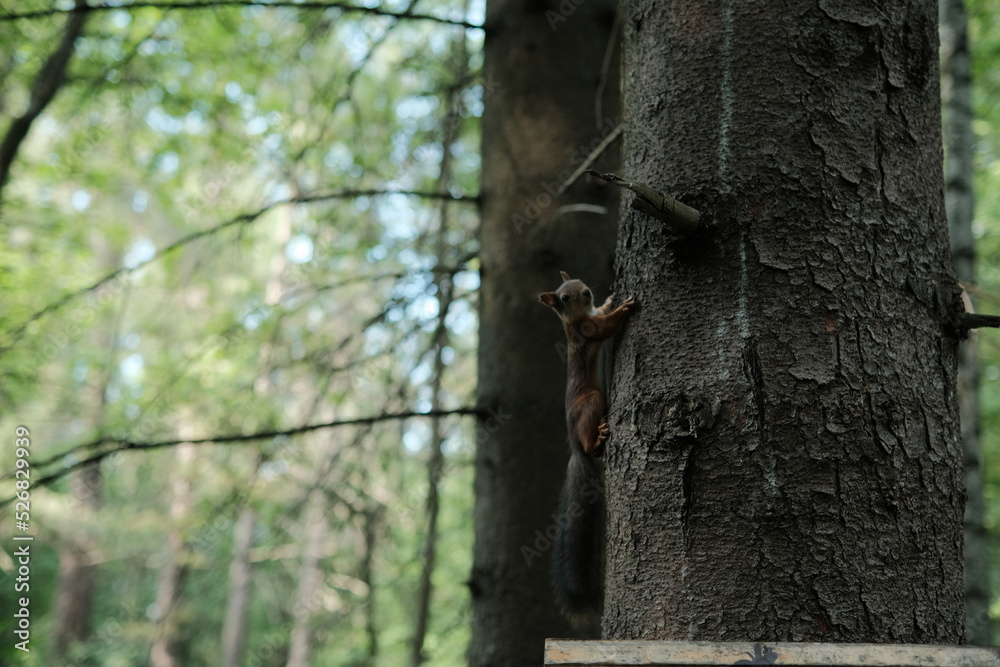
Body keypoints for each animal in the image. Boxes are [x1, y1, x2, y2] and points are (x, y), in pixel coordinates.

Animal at [540, 270, 632, 628]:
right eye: (564, 298)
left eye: (578, 283)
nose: (588, 292)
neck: (578, 318)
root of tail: (575, 447)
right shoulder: (587, 331)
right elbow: (606, 327)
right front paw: (623, 307)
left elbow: (601, 313)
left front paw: (609, 299)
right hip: (591, 401)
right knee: (591, 442)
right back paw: (596, 439)